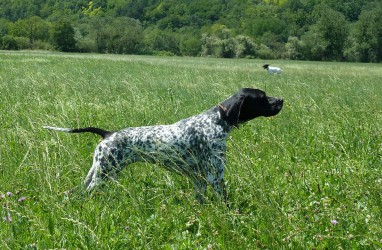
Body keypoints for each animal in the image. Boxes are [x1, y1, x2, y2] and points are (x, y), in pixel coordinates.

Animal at [44, 88, 284, 203]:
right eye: (262, 97)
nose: (281, 100)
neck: (217, 120)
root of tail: (108, 134)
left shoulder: (199, 180)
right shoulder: (216, 176)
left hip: (96, 173)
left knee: (75, 193)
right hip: (104, 175)